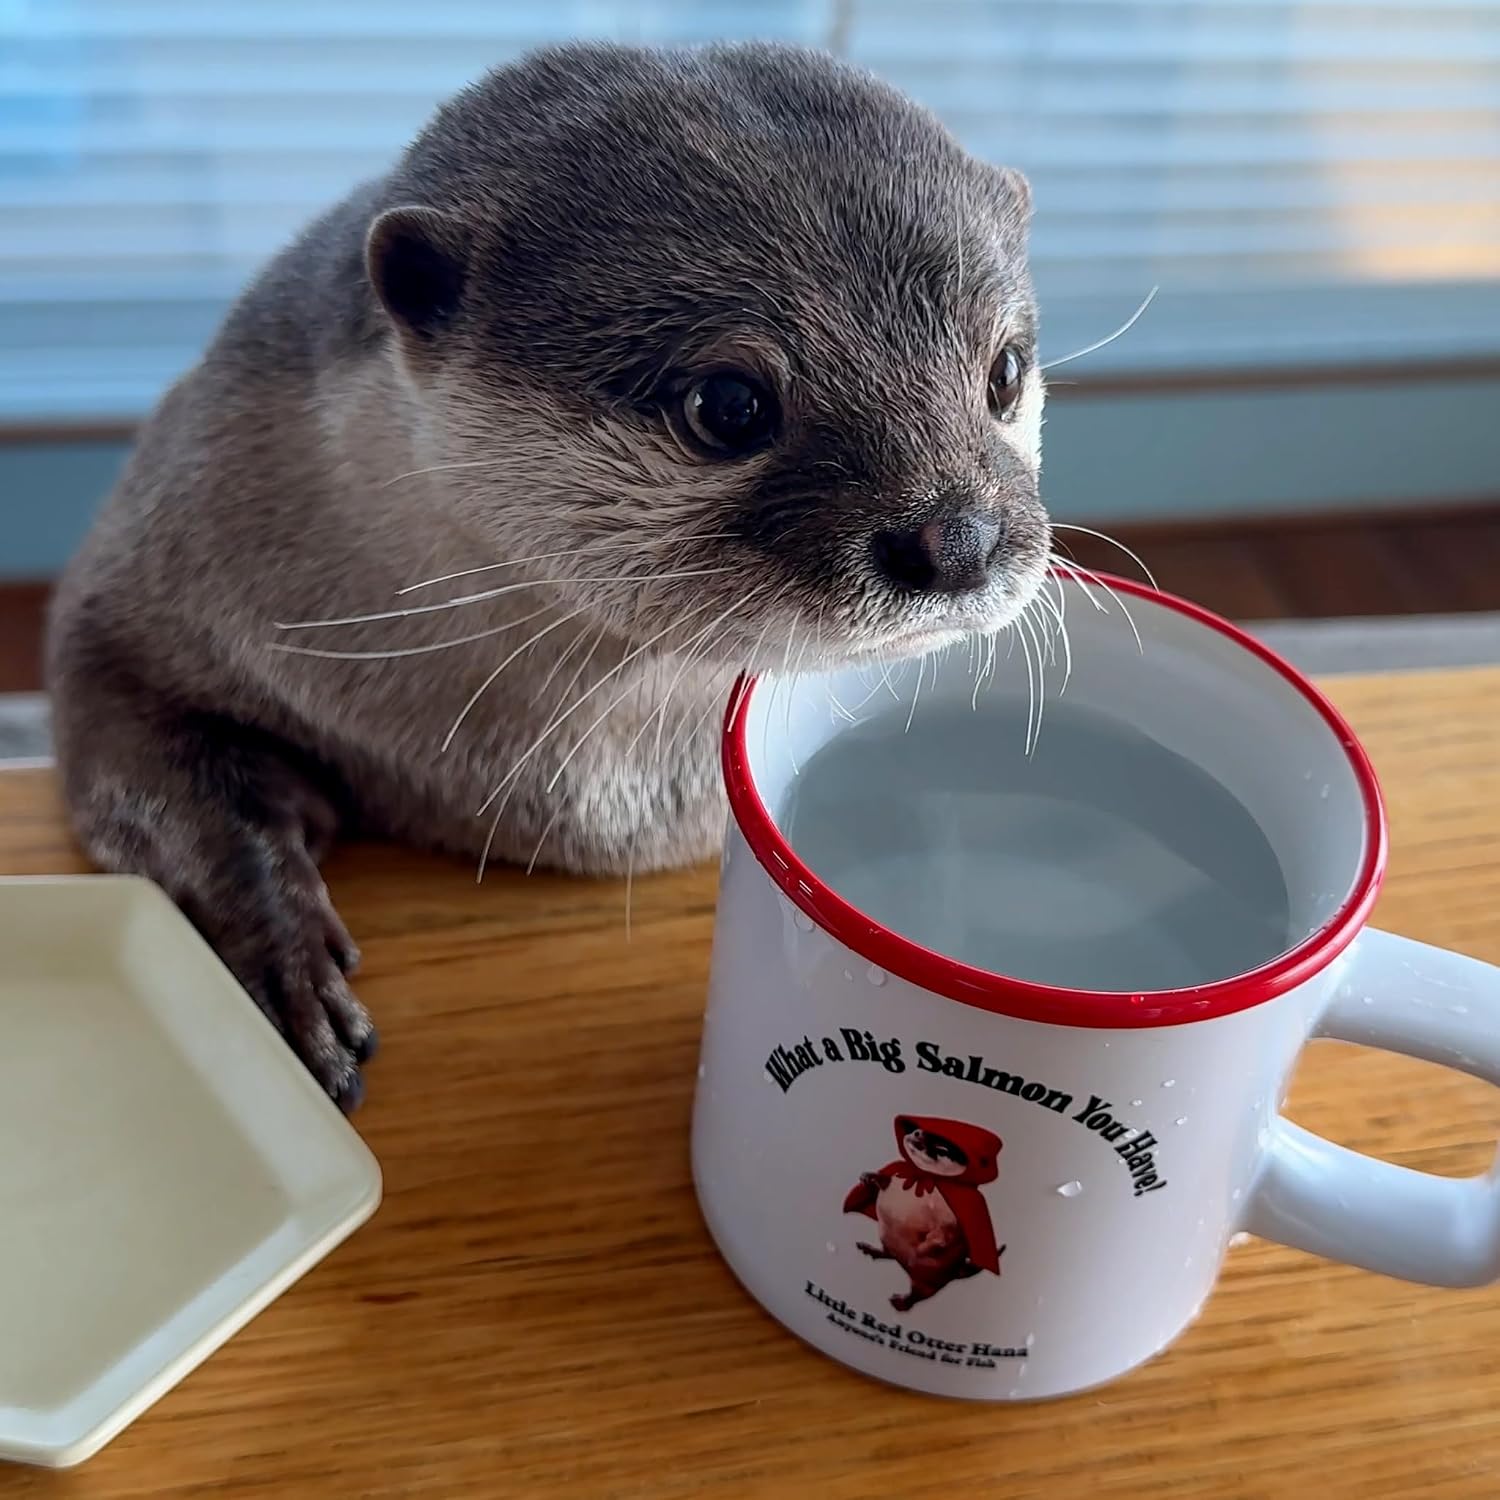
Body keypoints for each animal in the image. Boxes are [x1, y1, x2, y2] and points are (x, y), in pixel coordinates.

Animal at [46, 42, 1050, 1108]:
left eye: (1005, 370)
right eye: (728, 404)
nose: (959, 538)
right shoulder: (163, 553)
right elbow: (139, 744)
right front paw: (280, 962)